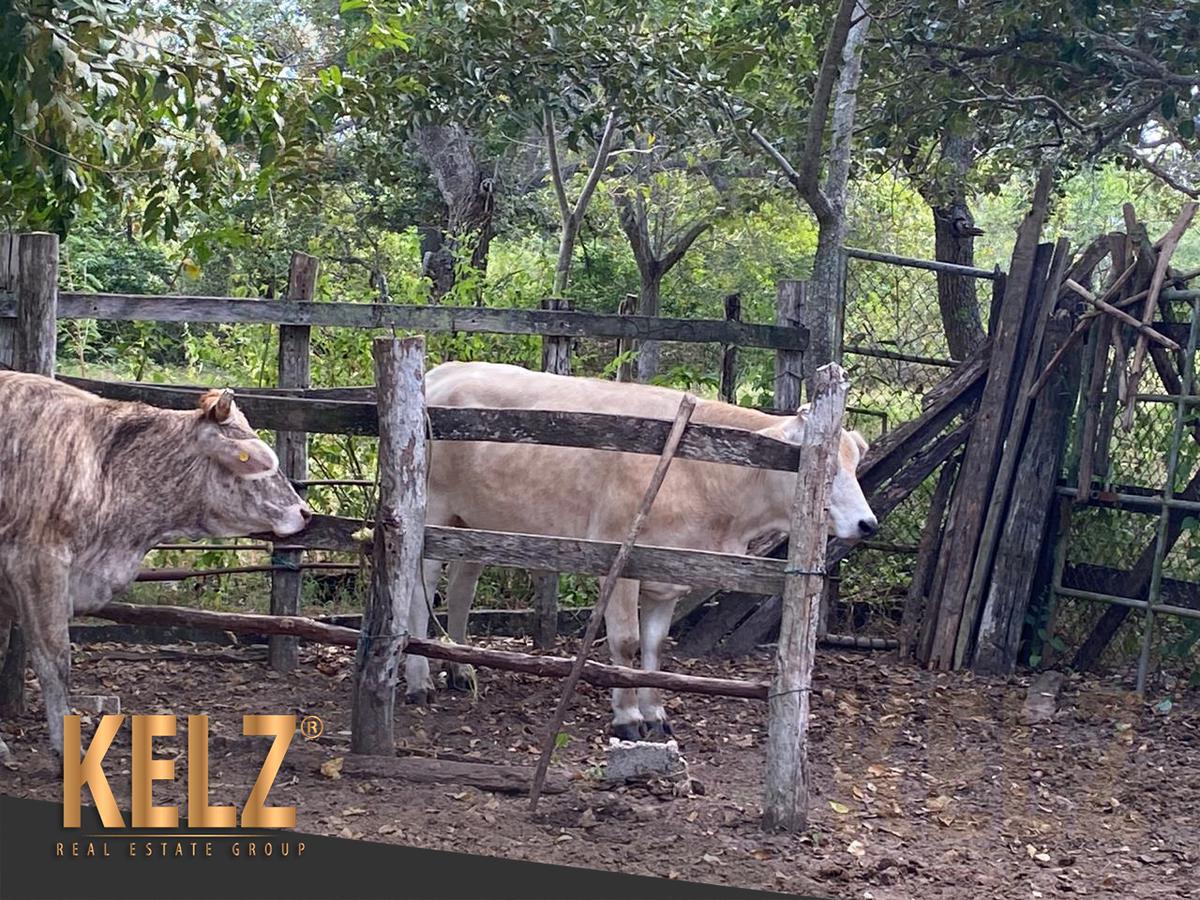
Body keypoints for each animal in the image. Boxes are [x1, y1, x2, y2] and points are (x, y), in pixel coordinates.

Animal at [403, 362, 873, 744]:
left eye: (854, 465)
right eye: (827, 469)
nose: (867, 524)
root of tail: (442, 371)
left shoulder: (668, 575)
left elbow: (655, 647)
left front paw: (656, 715)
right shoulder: (620, 562)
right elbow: (626, 643)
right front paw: (627, 717)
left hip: (476, 523)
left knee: (462, 588)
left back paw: (460, 669)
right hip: (433, 516)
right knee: (420, 589)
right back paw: (418, 680)